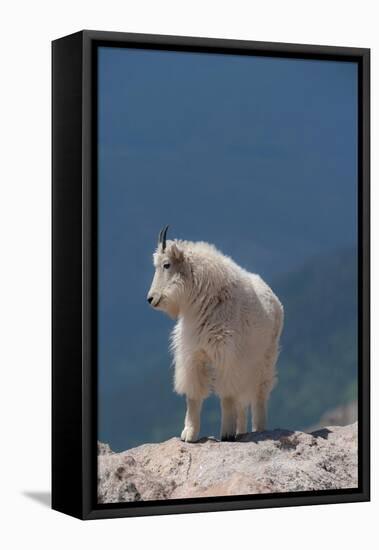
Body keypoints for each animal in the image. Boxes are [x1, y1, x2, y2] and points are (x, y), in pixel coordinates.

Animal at [147, 226, 284, 442]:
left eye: (166, 265)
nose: (151, 299)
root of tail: (275, 299)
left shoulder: (226, 356)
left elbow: (227, 396)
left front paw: (226, 433)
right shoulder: (194, 354)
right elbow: (193, 396)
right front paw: (189, 435)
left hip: (265, 359)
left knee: (259, 394)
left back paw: (258, 429)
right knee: (242, 400)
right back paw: (241, 430)